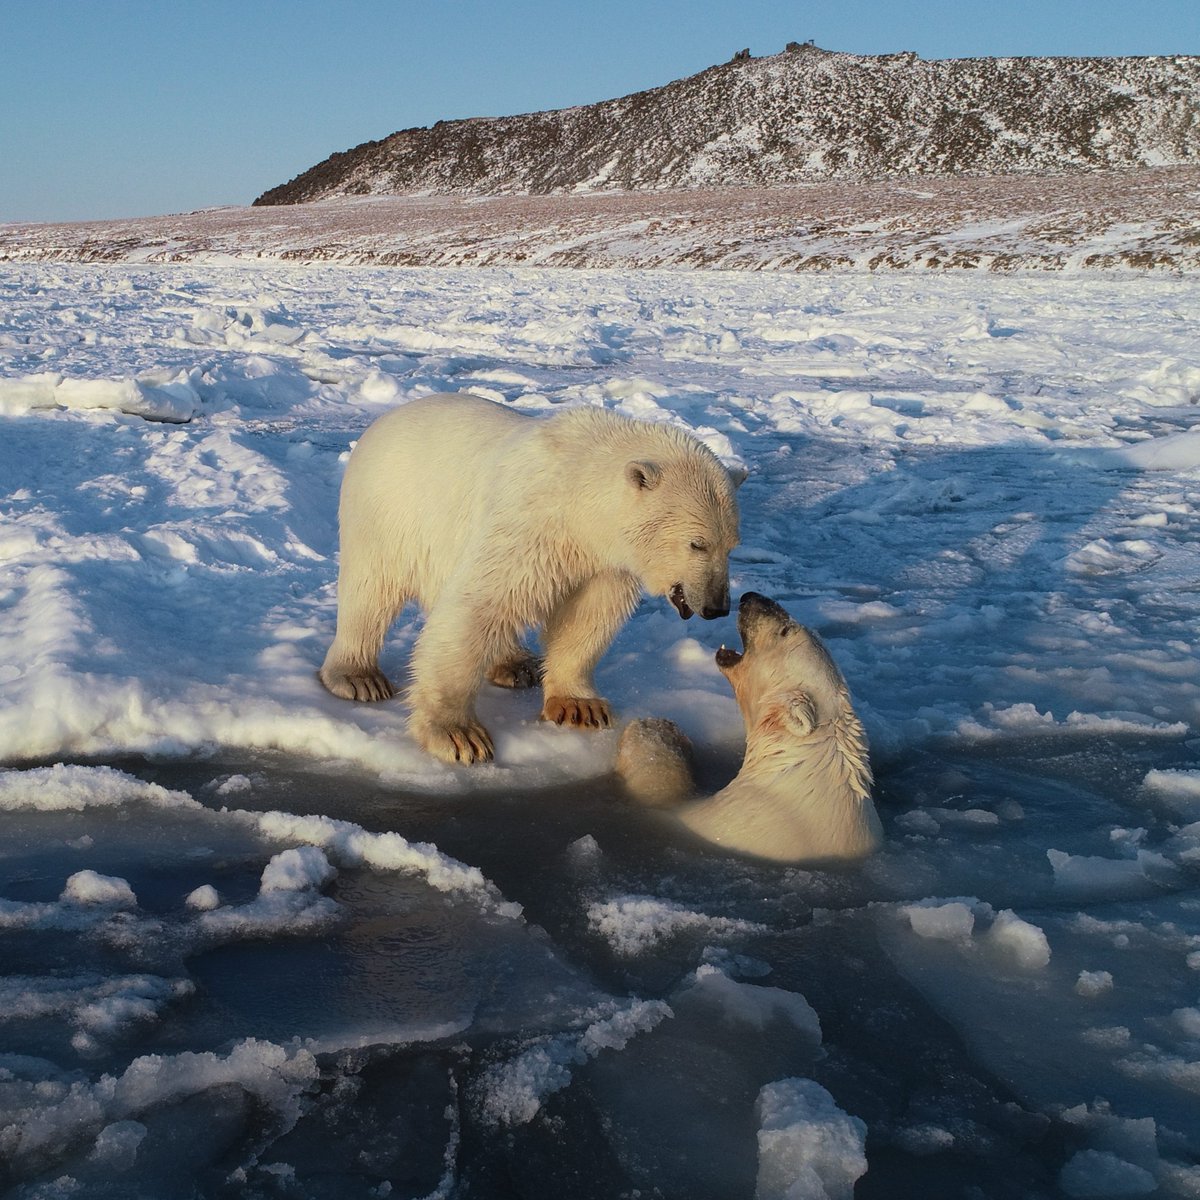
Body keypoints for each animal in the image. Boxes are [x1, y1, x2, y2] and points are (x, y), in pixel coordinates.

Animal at [319, 393, 743, 765]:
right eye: (697, 544)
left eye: (731, 545)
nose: (717, 606)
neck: (579, 491)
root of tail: (382, 422)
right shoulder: (531, 525)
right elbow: (481, 603)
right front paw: (458, 734)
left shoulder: (605, 560)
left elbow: (587, 616)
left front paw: (579, 706)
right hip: (387, 512)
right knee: (370, 591)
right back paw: (359, 677)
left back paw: (515, 664)